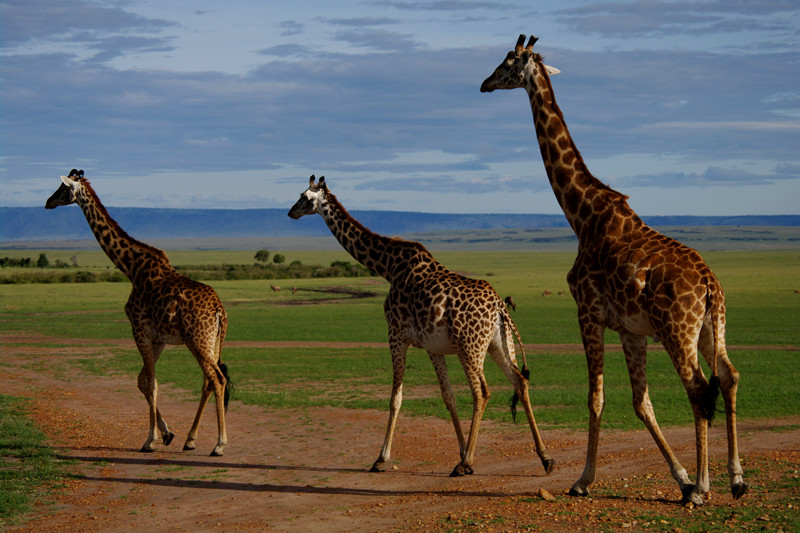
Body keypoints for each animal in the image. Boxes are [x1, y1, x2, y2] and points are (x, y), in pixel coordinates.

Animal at [46, 168, 230, 456]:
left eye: (63, 188)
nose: (48, 202)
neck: (130, 268)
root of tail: (219, 311)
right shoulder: (158, 338)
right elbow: (142, 380)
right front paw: (166, 434)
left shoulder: (139, 328)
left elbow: (151, 382)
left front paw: (149, 440)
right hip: (212, 341)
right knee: (208, 381)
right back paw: (191, 439)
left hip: (197, 340)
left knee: (217, 379)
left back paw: (219, 445)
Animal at [290, 177, 556, 476]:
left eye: (304, 197)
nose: (290, 212)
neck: (387, 267)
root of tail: (499, 307)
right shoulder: (433, 347)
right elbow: (448, 396)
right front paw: (460, 449)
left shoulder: (395, 335)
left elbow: (396, 397)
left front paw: (381, 458)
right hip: (499, 344)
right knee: (520, 382)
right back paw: (545, 458)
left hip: (470, 347)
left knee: (482, 392)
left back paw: (466, 464)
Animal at [482, 34, 752, 502]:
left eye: (508, 61)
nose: (484, 83)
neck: (582, 215)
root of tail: (709, 284)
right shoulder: (630, 329)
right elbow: (640, 402)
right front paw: (680, 476)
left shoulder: (588, 313)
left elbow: (596, 397)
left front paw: (583, 480)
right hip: (710, 326)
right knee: (729, 377)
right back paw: (735, 479)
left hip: (677, 330)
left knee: (700, 389)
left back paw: (704, 488)